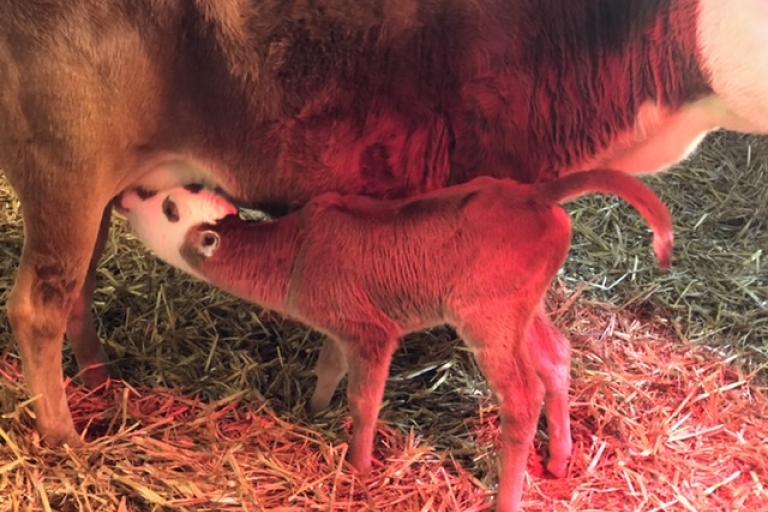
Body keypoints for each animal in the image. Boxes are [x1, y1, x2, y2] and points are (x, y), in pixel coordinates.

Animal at [0, 0, 764, 444]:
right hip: (66, 165)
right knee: (39, 303)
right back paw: (64, 436)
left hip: (96, 185)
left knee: (77, 286)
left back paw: (99, 379)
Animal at [120, 170, 672, 510]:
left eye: (168, 208)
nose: (126, 196)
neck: (295, 253)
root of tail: (535, 195)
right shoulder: (338, 325)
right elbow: (329, 368)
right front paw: (313, 412)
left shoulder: (371, 332)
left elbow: (364, 400)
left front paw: (360, 467)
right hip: (519, 308)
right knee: (556, 356)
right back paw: (558, 458)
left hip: (485, 319)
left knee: (521, 394)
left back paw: (507, 498)